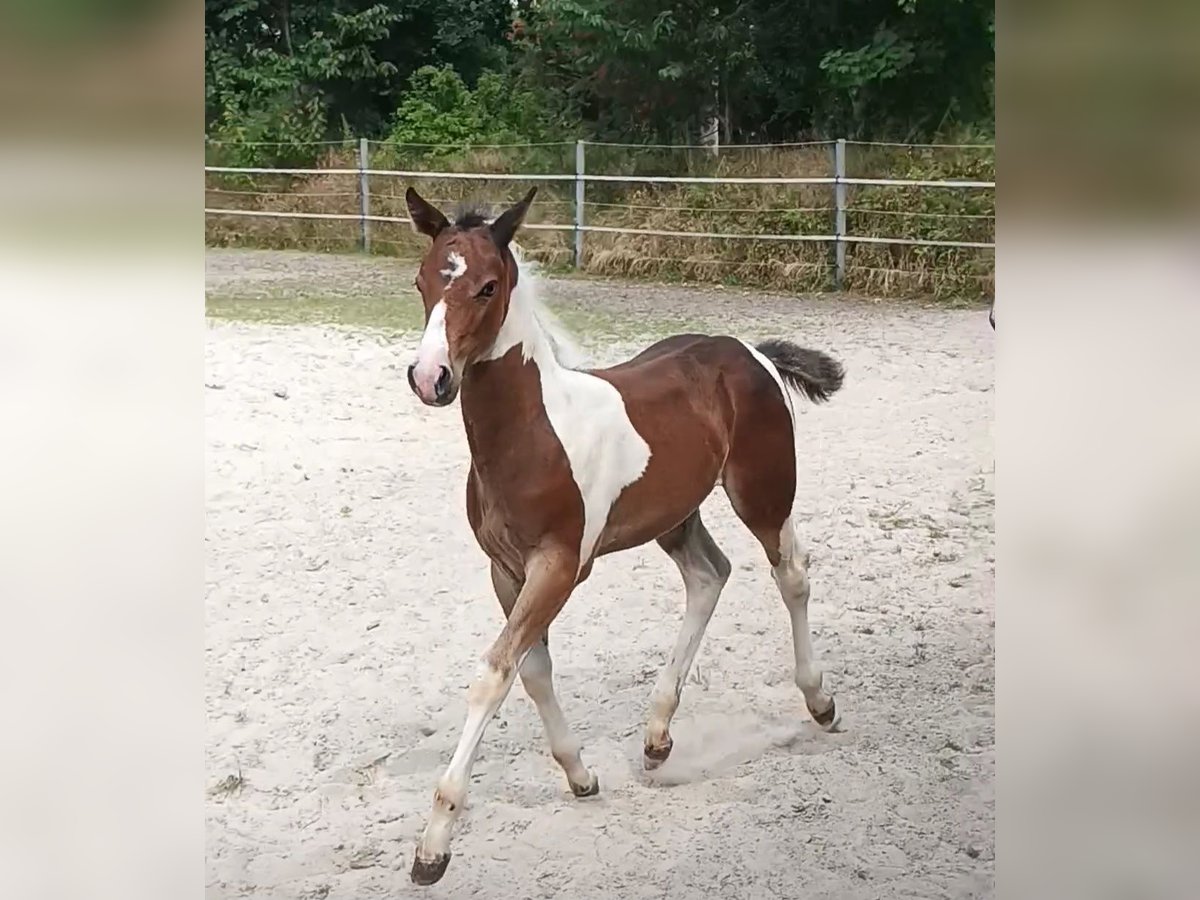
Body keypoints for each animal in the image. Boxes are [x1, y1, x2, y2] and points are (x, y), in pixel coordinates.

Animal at [403, 187, 844, 883]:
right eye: (422, 280)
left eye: (487, 286)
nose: (430, 378)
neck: (533, 433)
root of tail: (752, 352)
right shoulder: (506, 569)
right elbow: (532, 670)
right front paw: (580, 775)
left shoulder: (559, 565)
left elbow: (494, 673)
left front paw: (435, 843)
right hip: (675, 515)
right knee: (709, 575)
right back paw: (657, 736)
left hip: (764, 492)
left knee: (791, 572)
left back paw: (820, 702)